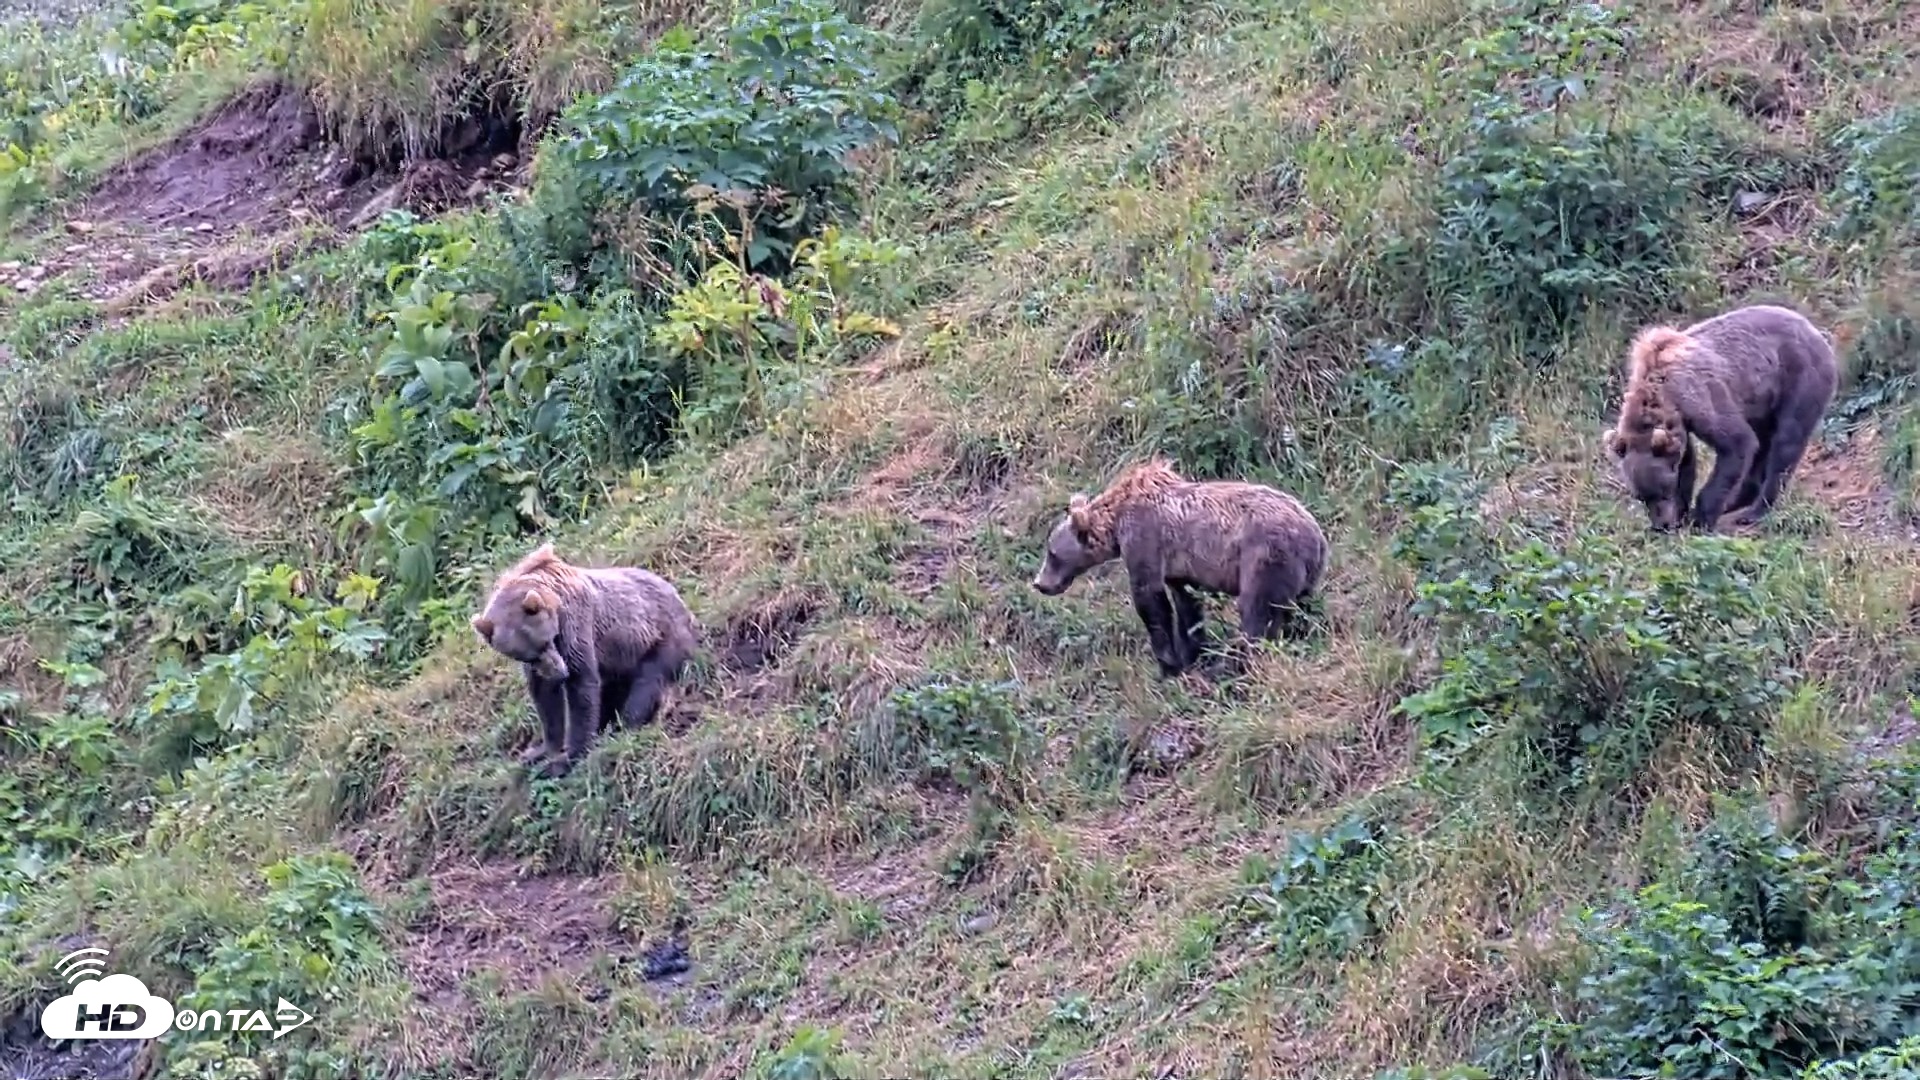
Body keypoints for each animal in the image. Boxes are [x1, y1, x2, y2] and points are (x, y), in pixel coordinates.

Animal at [471, 541, 697, 777]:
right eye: (529, 656)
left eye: (547, 642)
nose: (560, 673)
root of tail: (680, 598)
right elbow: (546, 698)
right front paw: (539, 752)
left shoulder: (576, 621)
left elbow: (581, 686)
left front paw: (566, 758)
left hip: (661, 637)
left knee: (646, 684)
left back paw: (622, 728)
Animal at [1030, 457, 1329, 677]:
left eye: (1052, 554)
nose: (1040, 583)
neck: (1116, 523)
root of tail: (1315, 535)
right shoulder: (1181, 565)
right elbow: (1187, 604)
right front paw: (1190, 653)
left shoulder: (1145, 539)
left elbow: (1151, 601)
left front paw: (1168, 665)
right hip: (1303, 573)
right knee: (1301, 609)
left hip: (1264, 557)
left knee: (1257, 611)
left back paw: (1230, 665)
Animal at [1604, 302, 1837, 533]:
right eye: (1641, 497)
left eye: (1663, 491)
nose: (1661, 525)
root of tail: (1814, 330)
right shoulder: (1681, 424)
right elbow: (1687, 463)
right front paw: (1681, 513)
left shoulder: (1700, 399)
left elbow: (1737, 443)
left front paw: (1700, 519)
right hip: (1762, 401)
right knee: (1762, 442)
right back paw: (1736, 502)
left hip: (1800, 379)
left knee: (1786, 441)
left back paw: (1753, 511)